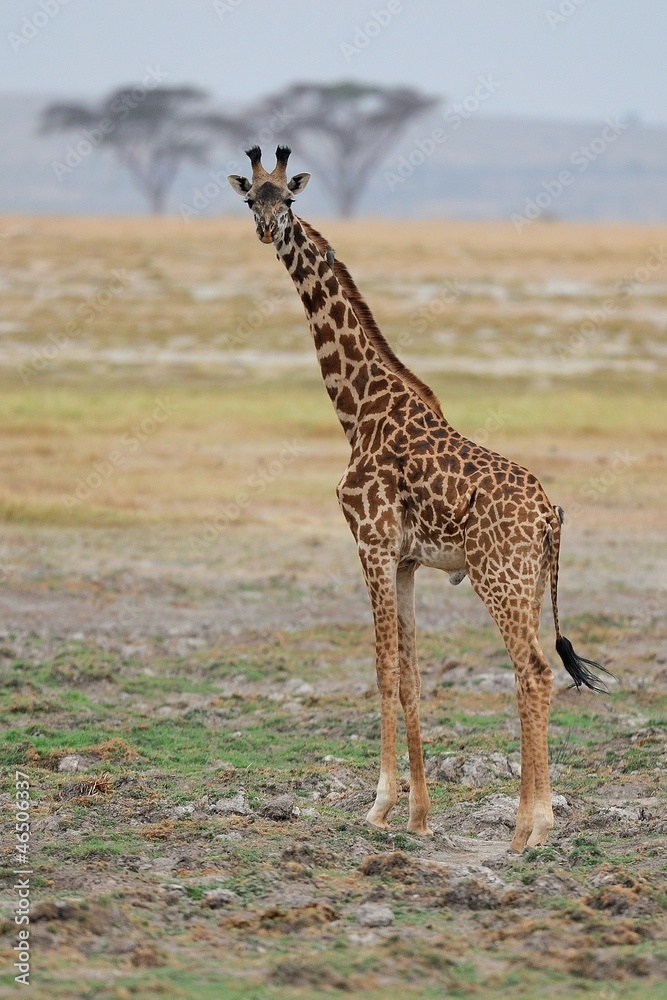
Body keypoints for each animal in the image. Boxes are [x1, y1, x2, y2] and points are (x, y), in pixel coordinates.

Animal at [227, 145, 612, 852]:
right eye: (250, 199)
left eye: (288, 200)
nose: (269, 231)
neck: (357, 410)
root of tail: (550, 515)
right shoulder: (406, 560)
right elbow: (409, 675)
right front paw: (418, 816)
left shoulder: (371, 542)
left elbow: (381, 667)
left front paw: (377, 808)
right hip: (525, 580)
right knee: (531, 672)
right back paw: (529, 821)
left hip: (499, 577)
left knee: (533, 672)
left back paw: (532, 828)